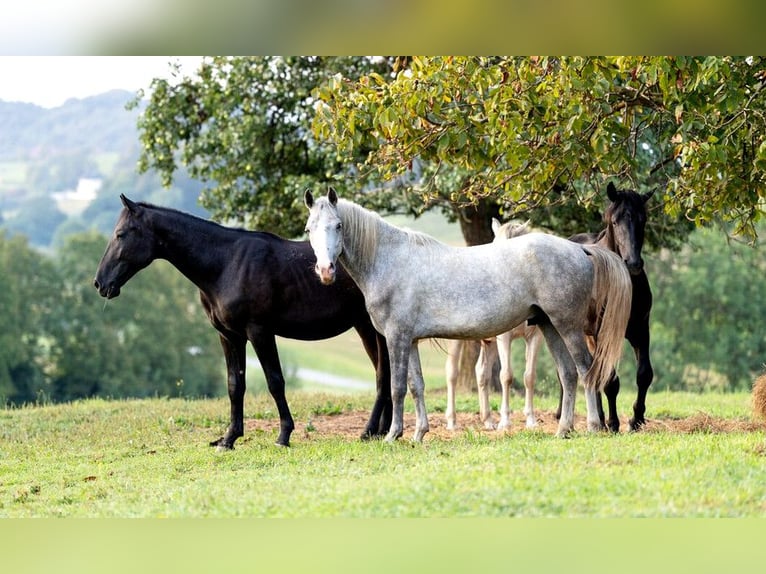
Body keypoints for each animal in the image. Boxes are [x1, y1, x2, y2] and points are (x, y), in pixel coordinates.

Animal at [95, 197, 392, 450]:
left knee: (381, 374)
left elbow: (275, 382)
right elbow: (234, 385)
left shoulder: (259, 332)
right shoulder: (229, 336)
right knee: (384, 373)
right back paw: (382, 430)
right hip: (367, 327)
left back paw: (369, 431)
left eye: (121, 234)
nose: (100, 283)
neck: (226, 264)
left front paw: (284, 435)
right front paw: (229, 438)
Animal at [568, 183, 656, 432]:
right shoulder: (601, 334)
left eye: (643, 220)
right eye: (615, 222)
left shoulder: (640, 330)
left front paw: (636, 419)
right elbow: (610, 380)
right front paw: (613, 422)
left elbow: (644, 374)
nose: (633, 263)